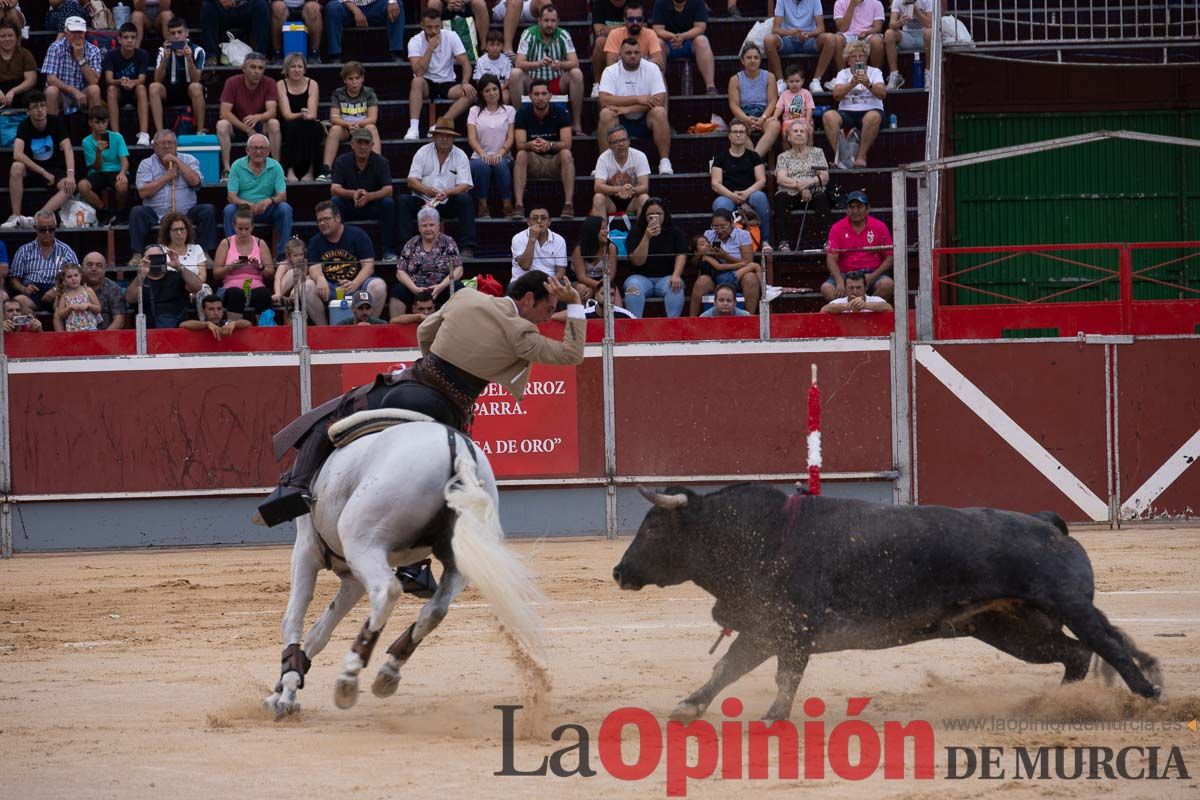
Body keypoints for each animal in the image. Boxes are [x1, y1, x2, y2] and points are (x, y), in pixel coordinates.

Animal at [266, 417, 544, 714]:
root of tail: (457, 450)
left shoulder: (308, 551)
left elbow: (294, 618)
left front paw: (287, 692)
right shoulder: (352, 578)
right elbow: (320, 631)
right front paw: (284, 688)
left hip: (363, 543)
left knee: (387, 591)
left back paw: (349, 677)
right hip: (457, 560)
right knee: (435, 610)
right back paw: (388, 672)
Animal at [614, 484, 1156, 724]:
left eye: (654, 528)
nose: (619, 572)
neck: (762, 535)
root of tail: (1045, 522)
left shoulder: (791, 627)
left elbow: (780, 673)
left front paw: (773, 717)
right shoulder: (767, 626)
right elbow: (730, 666)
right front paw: (690, 706)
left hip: (1071, 607)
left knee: (1110, 646)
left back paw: (1150, 697)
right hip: (1011, 629)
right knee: (1075, 654)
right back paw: (1059, 705)